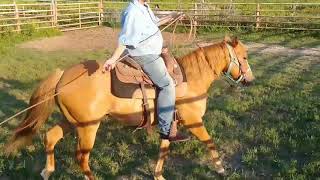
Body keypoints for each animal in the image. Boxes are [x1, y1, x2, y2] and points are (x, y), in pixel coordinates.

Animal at [5, 36, 255, 179]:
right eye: (243, 57)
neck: (189, 79)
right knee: (81, 158)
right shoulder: (194, 122)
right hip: (88, 127)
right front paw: (220, 168)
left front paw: (158, 175)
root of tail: (62, 76)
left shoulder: (168, 124)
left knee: (50, 138)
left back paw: (47, 171)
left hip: (71, 121)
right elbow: (209, 141)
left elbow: (164, 150)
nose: (250, 80)